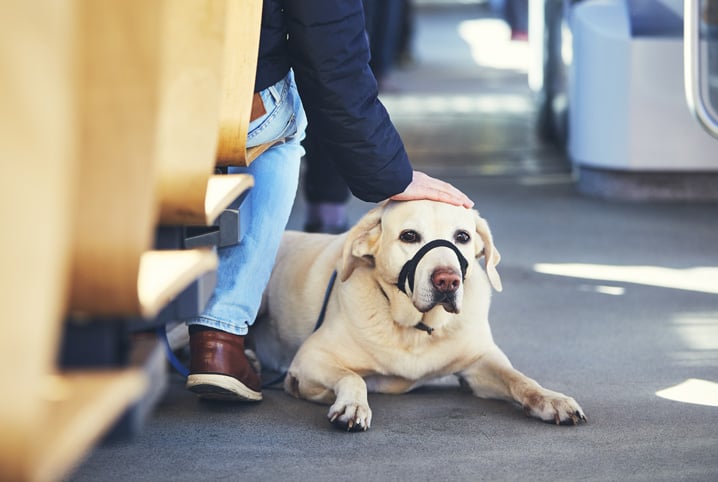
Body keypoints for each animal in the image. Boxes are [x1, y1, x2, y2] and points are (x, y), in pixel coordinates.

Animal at [252, 198, 584, 432]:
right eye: (409, 236)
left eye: (462, 236)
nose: (447, 280)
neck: (416, 329)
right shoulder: (310, 358)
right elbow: (352, 377)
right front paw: (352, 405)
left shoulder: (480, 362)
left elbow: (520, 379)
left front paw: (551, 399)